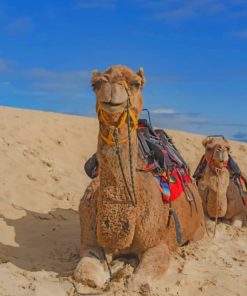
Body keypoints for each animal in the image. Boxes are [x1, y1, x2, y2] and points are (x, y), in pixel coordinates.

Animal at [74, 65, 206, 292]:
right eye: (95, 84)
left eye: (136, 83)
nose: (111, 88)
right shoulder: (90, 241)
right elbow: (84, 275)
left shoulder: (158, 244)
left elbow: (138, 283)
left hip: (199, 227)